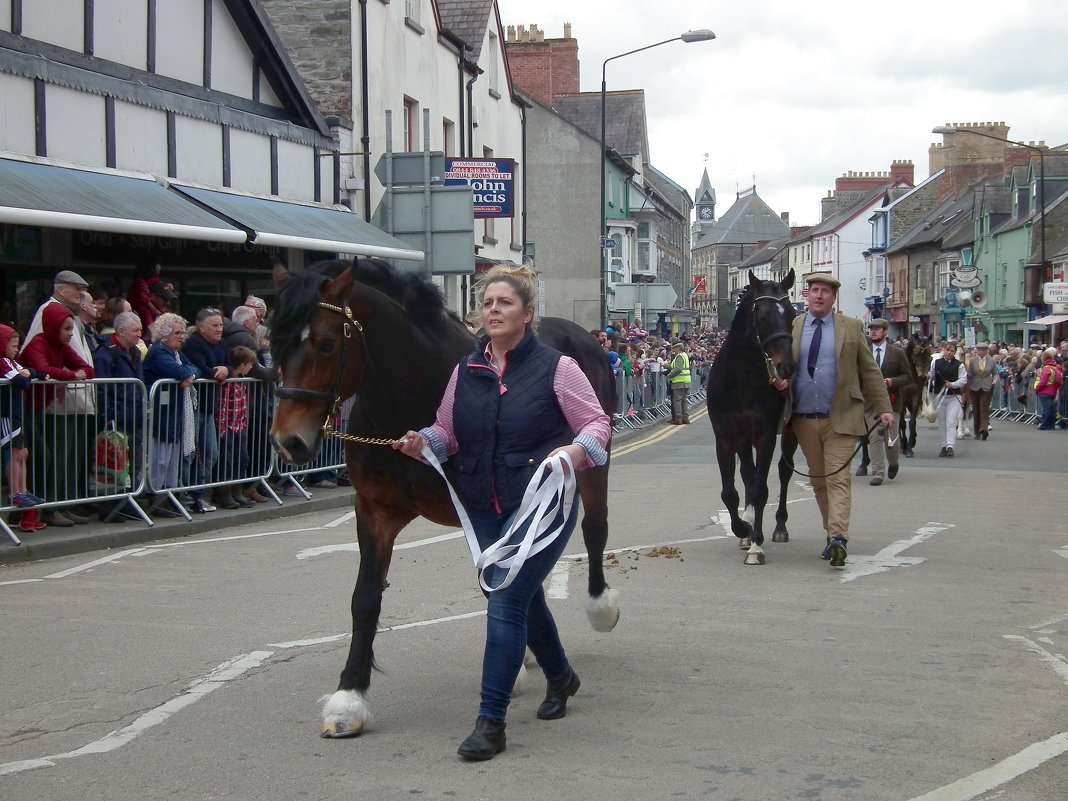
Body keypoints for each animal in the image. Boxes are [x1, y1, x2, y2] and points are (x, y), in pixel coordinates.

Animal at [269, 258, 619, 739]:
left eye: (325, 344)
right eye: (274, 344)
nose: (289, 442)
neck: (413, 396)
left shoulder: (481, 509)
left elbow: (500, 583)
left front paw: (513, 668)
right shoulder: (374, 512)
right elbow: (365, 599)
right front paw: (349, 698)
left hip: (590, 466)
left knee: (594, 529)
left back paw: (600, 609)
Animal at [704, 270, 798, 563]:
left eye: (792, 315)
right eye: (763, 316)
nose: (786, 368)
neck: (742, 377)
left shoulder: (766, 435)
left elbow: (760, 489)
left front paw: (756, 544)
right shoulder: (725, 436)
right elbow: (729, 493)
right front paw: (743, 528)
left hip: (788, 432)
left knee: (784, 471)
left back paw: (780, 527)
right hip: (742, 439)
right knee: (747, 472)